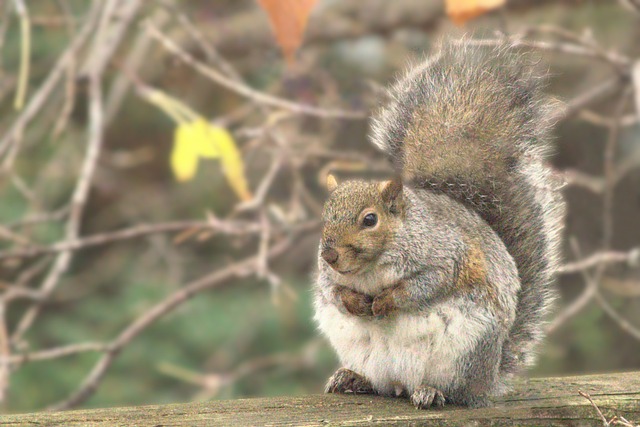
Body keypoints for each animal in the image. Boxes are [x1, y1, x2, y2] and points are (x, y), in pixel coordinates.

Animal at [312, 41, 564, 412]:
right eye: (325, 215)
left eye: (370, 219)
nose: (329, 255)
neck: (371, 268)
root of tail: (488, 380)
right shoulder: (328, 277)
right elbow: (332, 290)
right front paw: (355, 301)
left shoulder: (447, 256)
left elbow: (427, 285)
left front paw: (386, 301)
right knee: (381, 384)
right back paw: (353, 378)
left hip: (464, 354)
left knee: (453, 391)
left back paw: (430, 392)